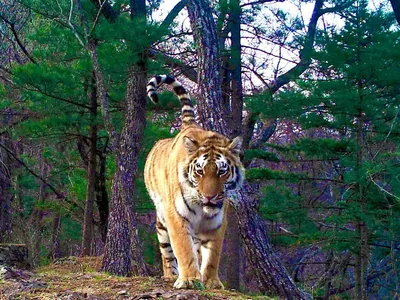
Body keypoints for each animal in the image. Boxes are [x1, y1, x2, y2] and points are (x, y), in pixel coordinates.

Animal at [144, 75, 244, 290]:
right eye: (199, 171)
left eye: (222, 171)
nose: (209, 196)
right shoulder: (176, 216)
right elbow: (183, 248)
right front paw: (189, 279)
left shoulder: (218, 221)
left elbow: (213, 254)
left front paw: (212, 282)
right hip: (161, 219)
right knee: (167, 251)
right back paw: (171, 275)